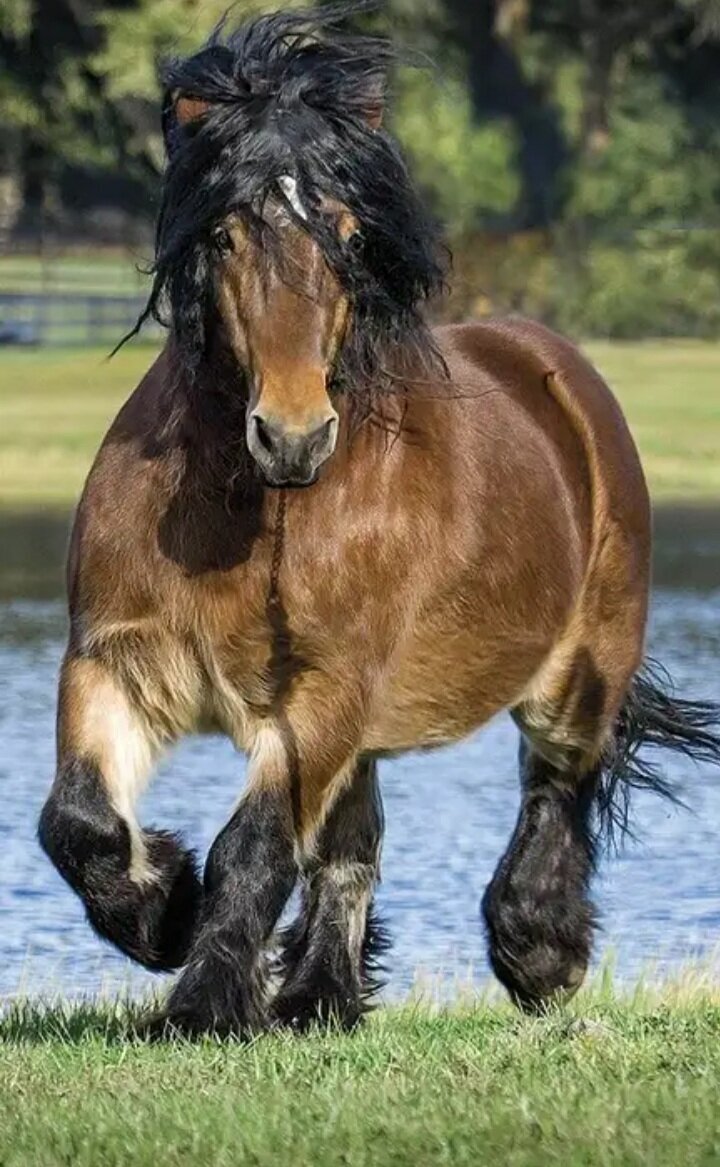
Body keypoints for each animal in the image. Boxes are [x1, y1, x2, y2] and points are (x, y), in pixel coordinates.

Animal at [37, 4, 718, 1036]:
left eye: (349, 234)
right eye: (225, 234)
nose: (292, 434)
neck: (243, 514)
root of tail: (556, 370)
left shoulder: (323, 696)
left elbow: (252, 850)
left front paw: (203, 1000)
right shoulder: (114, 659)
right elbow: (76, 822)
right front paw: (164, 913)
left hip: (574, 672)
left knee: (556, 783)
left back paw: (537, 951)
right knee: (355, 845)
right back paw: (319, 993)